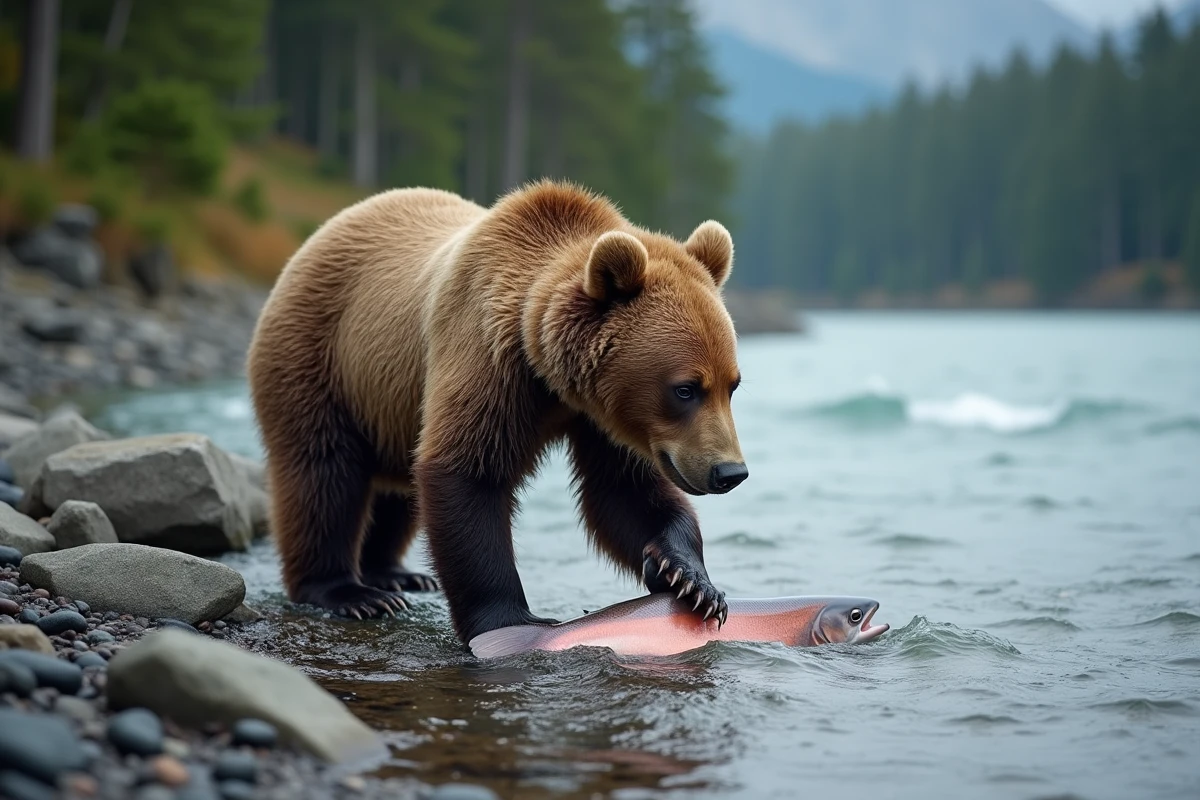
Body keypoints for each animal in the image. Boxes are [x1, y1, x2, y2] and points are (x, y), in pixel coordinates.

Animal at [247, 181, 748, 643]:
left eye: (732, 385)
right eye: (685, 389)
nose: (730, 472)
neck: (549, 374)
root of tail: (322, 233)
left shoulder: (604, 418)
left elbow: (622, 491)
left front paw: (691, 580)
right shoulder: (488, 357)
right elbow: (467, 473)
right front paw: (508, 618)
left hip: (391, 406)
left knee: (397, 486)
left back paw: (394, 573)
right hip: (321, 357)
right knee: (323, 474)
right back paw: (349, 592)